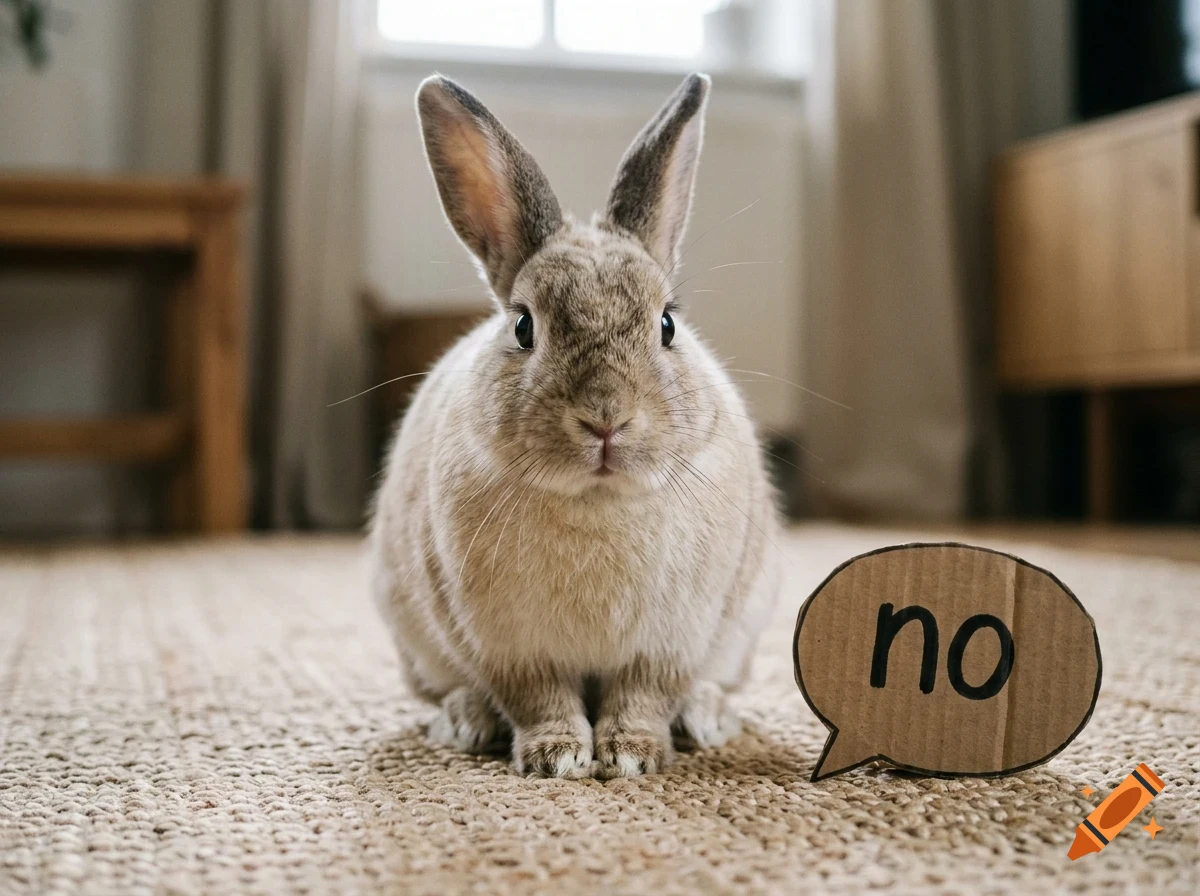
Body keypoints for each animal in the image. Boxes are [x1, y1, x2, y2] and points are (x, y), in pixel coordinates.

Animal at [369, 72, 782, 779]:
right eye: (523, 327)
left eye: (667, 324)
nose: (606, 419)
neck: (597, 499)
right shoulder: (513, 649)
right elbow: (540, 699)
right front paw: (556, 757)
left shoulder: (668, 645)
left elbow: (644, 696)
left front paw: (631, 757)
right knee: (446, 691)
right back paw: (466, 722)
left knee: (713, 685)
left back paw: (706, 720)